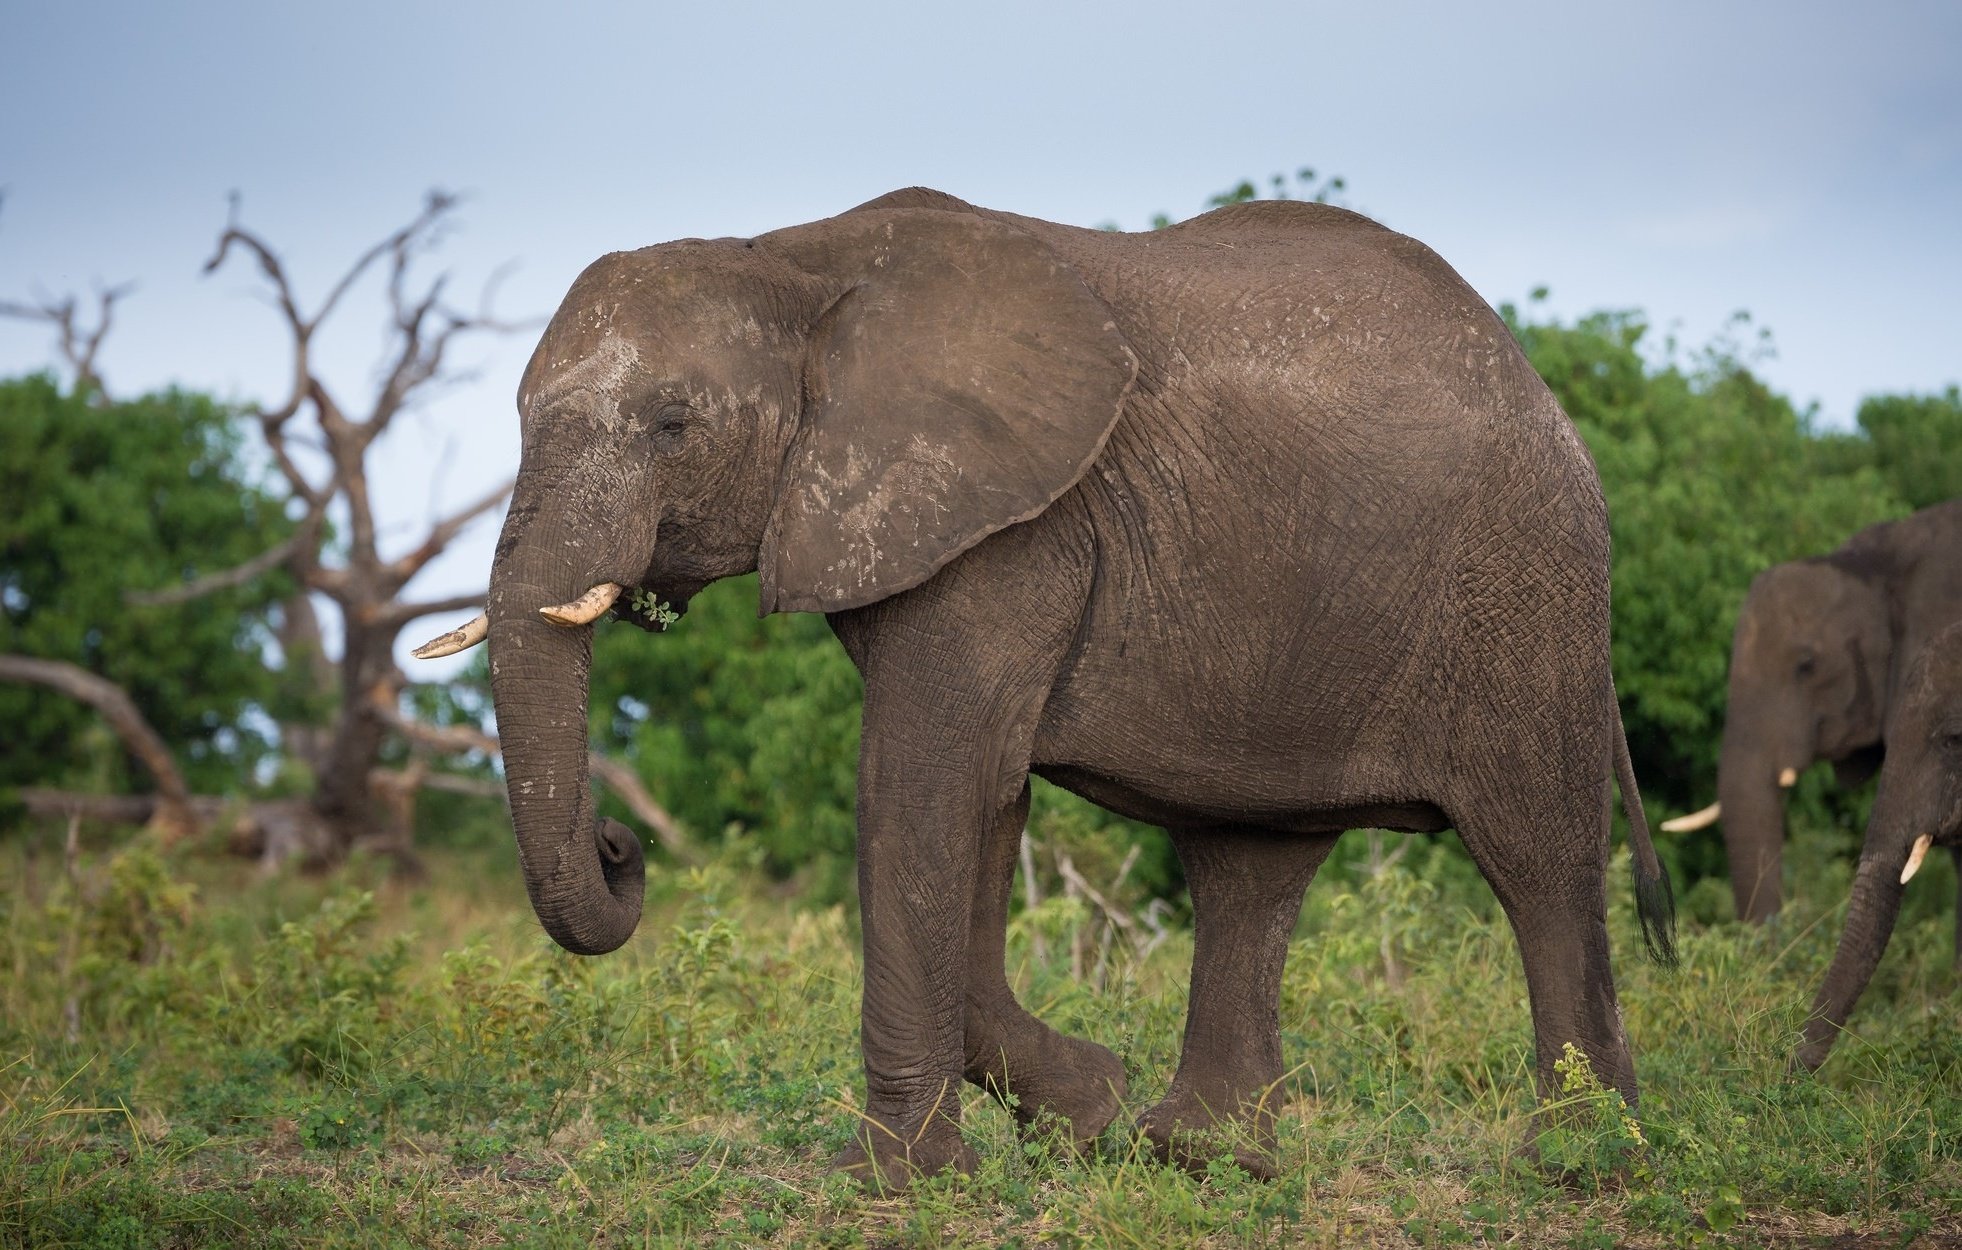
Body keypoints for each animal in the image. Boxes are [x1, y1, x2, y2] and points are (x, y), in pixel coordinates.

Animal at [414, 187, 1675, 1188]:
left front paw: (902, 1180)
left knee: (1538, 858)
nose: (622, 845)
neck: (792, 257)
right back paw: (1201, 1157)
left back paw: (1581, 1163)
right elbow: (982, 796)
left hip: (1526, 591)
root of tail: (1545, 392)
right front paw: (1085, 1109)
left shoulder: (1012, 524)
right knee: (1248, 864)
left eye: (673, 422)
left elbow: (924, 784)